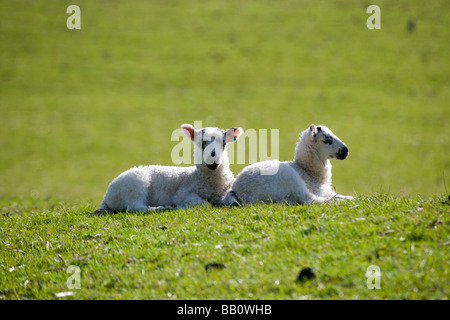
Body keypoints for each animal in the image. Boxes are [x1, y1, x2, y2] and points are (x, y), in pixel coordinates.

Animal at [94, 122, 243, 212]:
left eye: (224, 143)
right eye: (201, 143)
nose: (213, 162)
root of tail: (107, 196)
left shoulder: (226, 189)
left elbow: (233, 200)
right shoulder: (182, 193)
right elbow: (203, 204)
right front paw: (180, 206)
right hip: (135, 187)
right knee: (136, 207)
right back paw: (162, 207)